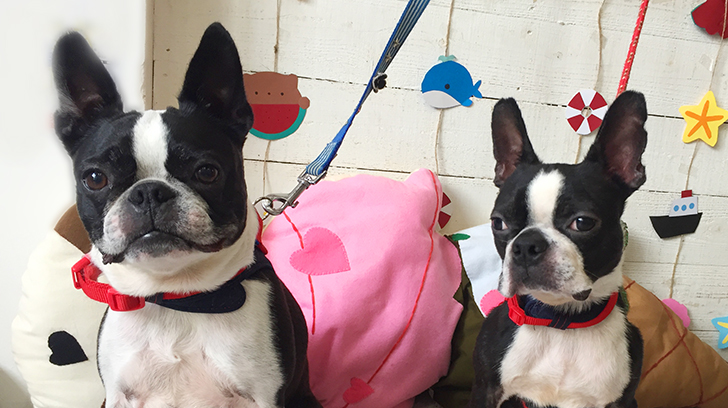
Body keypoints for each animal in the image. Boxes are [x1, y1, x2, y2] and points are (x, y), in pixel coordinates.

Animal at [53, 23, 322, 408]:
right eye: (95, 178)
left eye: (207, 172)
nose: (149, 192)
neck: (177, 300)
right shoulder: (117, 396)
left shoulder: (263, 397)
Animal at [469, 91, 647, 408]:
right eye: (498, 222)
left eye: (583, 222)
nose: (526, 245)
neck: (560, 321)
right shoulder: (485, 391)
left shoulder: (622, 400)